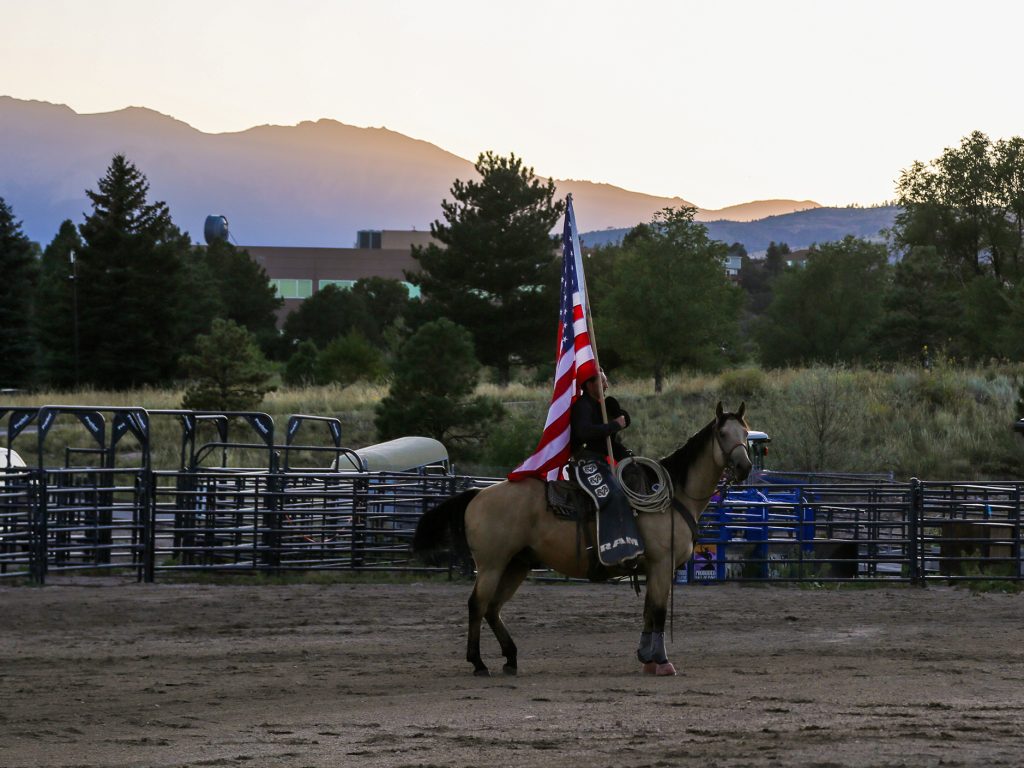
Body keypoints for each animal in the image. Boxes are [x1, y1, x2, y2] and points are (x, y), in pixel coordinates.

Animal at [413, 401, 752, 677]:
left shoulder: (654, 568)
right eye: (723, 434)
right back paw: (478, 662)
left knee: (493, 608)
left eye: (747, 433)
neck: (673, 497)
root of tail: (477, 493)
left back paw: (510, 658)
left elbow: (647, 612)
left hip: (516, 565)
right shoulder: (660, 564)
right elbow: (657, 612)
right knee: (477, 604)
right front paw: (661, 662)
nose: (745, 467)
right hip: (492, 564)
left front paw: (646, 658)